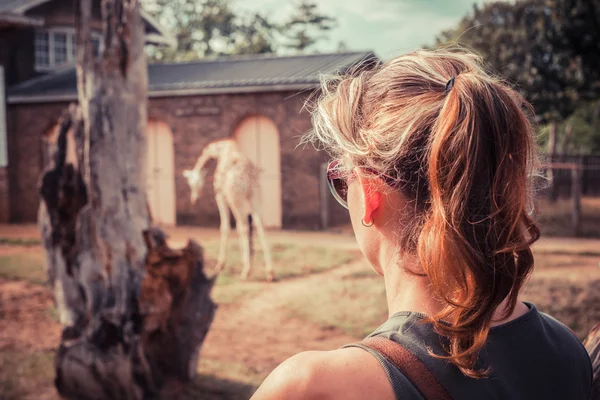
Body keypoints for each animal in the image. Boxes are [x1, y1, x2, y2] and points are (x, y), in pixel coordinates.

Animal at [183, 138, 274, 282]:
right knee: (260, 226)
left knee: (244, 226)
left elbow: (225, 227)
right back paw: (270, 272)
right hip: (255, 195)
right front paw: (243, 261)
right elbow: (236, 227)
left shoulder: (220, 196)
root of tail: (247, 174)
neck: (219, 151)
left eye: (192, 184)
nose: (194, 199)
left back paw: (246, 272)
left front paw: (220, 265)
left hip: (236, 197)